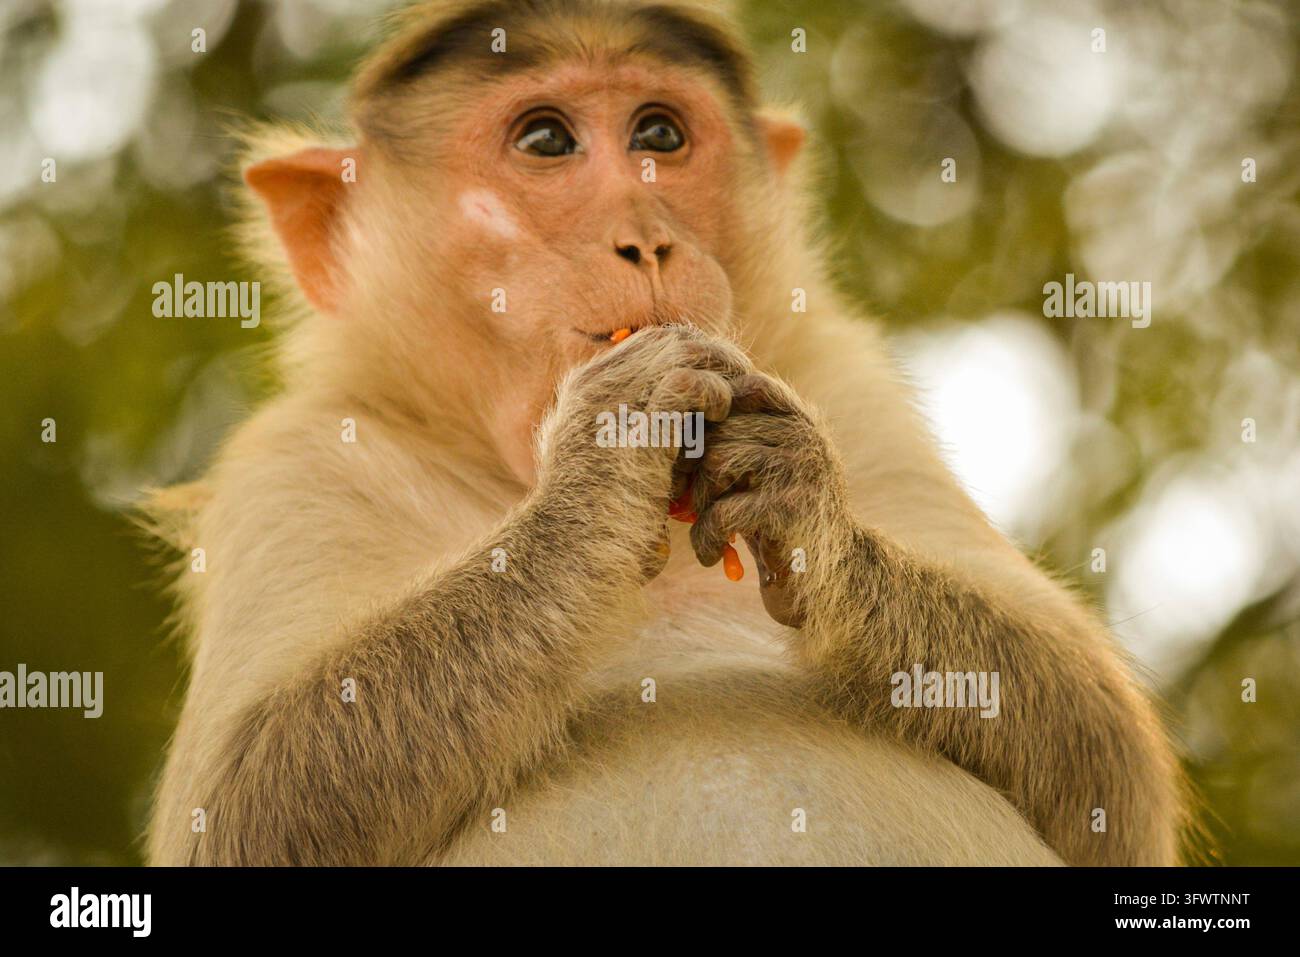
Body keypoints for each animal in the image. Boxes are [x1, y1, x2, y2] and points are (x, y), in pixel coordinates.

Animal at [144, 0, 1187, 866]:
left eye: (660, 134)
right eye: (547, 140)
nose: (646, 235)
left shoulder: (847, 379)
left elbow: (1107, 770)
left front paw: (804, 501)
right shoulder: (289, 461)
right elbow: (242, 807)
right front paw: (600, 467)